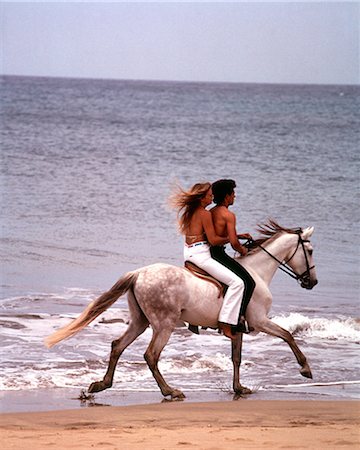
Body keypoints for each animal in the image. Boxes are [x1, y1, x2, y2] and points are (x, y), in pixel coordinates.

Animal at [45, 220, 318, 400]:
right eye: (311, 250)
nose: (312, 282)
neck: (257, 273)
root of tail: (139, 273)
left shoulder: (238, 328)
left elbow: (236, 358)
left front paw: (239, 388)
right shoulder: (260, 321)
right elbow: (288, 335)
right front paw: (305, 369)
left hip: (140, 322)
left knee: (117, 346)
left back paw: (100, 385)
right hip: (163, 325)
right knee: (151, 355)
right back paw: (170, 391)